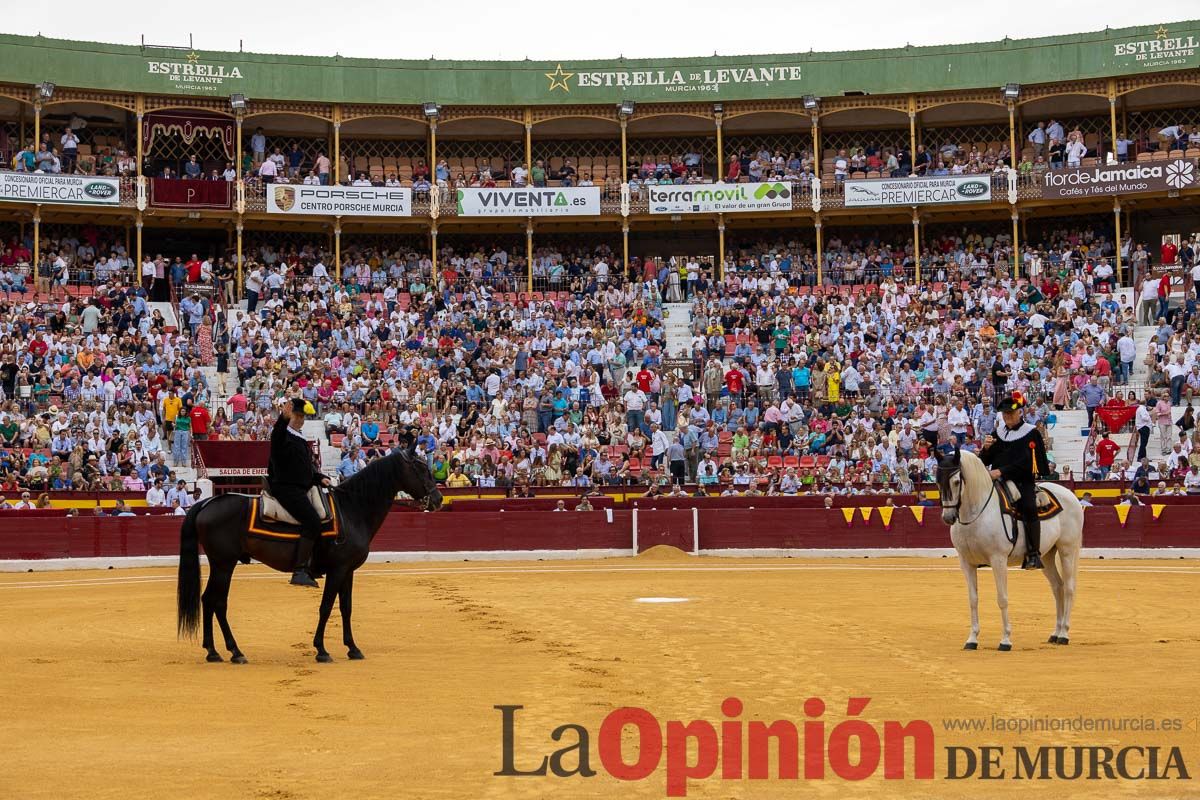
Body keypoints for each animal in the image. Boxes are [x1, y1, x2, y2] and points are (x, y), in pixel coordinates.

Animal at [175, 448, 444, 666]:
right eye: (421, 469)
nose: (439, 499)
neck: (353, 508)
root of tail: (208, 502)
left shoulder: (348, 571)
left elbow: (346, 607)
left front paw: (353, 648)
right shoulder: (337, 570)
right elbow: (326, 607)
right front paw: (322, 650)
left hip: (219, 564)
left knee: (208, 599)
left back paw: (213, 651)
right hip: (224, 564)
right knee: (218, 602)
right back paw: (235, 651)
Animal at [936, 450, 1089, 652]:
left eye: (956, 481)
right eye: (937, 482)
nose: (948, 517)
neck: (976, 513)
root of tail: (1069, 495)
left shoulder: (998, 560)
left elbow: (1002, 599)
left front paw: (1006, 640)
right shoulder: (966, 563)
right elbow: (973, 599)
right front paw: (972, 639)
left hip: (1067, 549)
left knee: (1070, 588)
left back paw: (1064, 634)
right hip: (1047, 555)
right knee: (1058, 587)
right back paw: (1055, 633)